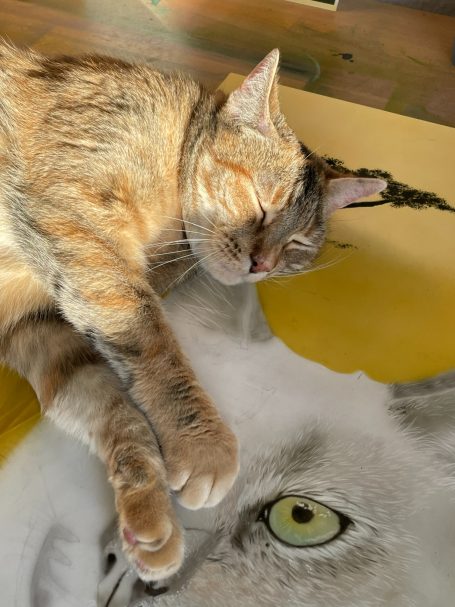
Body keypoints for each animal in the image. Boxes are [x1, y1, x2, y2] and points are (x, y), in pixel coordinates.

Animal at [0, 43, 386, 581]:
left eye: (298, 244)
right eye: (263, 204)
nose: (262, 264)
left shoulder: (40, 327)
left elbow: (114, 410)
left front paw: (148, 513)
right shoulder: (80, 229)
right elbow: (157, 349)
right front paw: (202, 445)